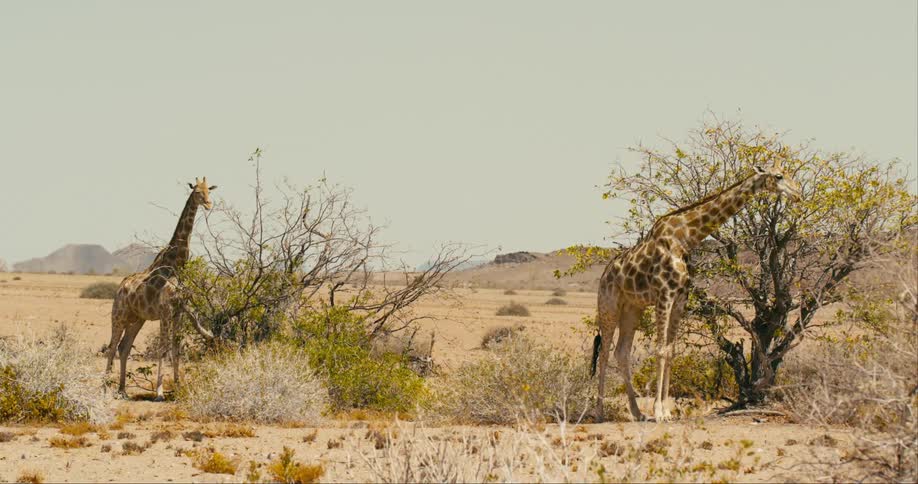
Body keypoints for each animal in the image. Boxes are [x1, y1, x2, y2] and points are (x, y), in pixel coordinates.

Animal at [105, 177, 216, 399]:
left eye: (210, 190)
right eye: (197, 192)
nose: (209, 204)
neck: (177, 265)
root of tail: (120, 288)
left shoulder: (178, 311)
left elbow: (176, 348)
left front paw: (178, 386)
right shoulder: (166, 311)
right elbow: (163, 349)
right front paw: (159, 392)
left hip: (137, 319)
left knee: (124, 347)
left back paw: (122, 390)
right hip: (119, 315)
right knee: (112, 346)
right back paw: (104, 388)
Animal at [592, 157, 802, 422]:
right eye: (778, 176)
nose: (798, 194)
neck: (686, 238)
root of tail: (604, 274)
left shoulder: (681, 297)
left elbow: (670, 351)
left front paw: (666, 411)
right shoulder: (664, 294)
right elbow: (661, 350)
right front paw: (659, 412)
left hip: (632, 308)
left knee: (621, 352)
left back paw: (637, 413)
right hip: (608, 304)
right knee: (604, 352)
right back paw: (599, 412)